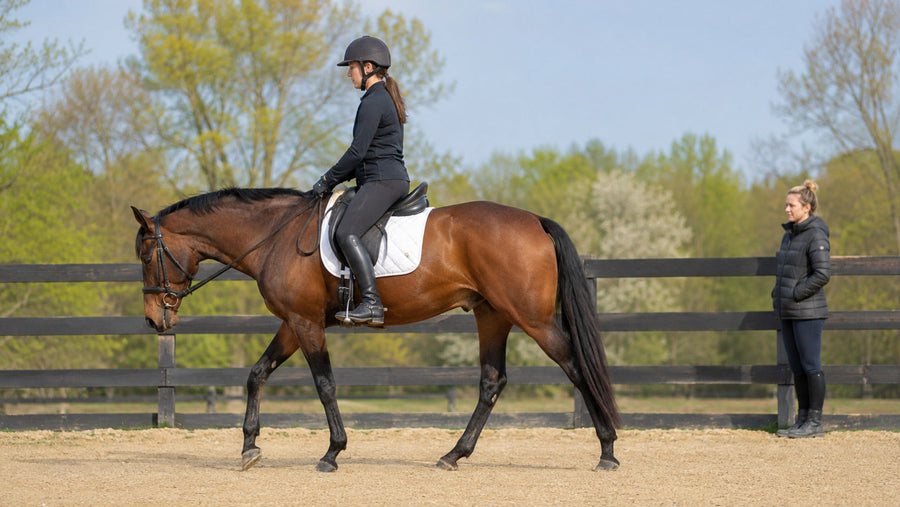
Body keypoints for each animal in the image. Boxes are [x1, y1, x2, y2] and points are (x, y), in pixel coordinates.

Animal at [131, 187, 621, 472]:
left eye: (146, 255)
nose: (155, 319)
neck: (275, 235)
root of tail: (534, 220)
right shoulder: (294, 322)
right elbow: (257, 374)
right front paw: (250, 447)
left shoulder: (306, 323)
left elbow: (324, 384)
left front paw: (333, 452)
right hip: (492, 316)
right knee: (492, 382)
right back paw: (453, 455)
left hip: (531, 319)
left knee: (576, 368)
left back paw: (608, 450)